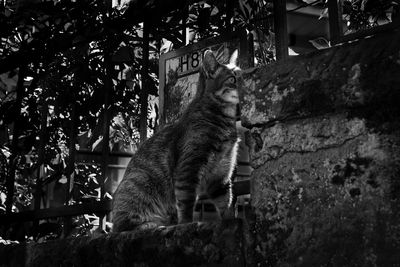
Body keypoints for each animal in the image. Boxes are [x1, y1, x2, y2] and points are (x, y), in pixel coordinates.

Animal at [111, 49, 241, 232]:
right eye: (232, 78)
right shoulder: (188, 170)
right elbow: (186, 204)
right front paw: (187, 224)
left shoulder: (221, 177)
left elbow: (226, 203)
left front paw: (230, 222)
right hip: (139, 183)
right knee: (122, 226)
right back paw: (150, 225)